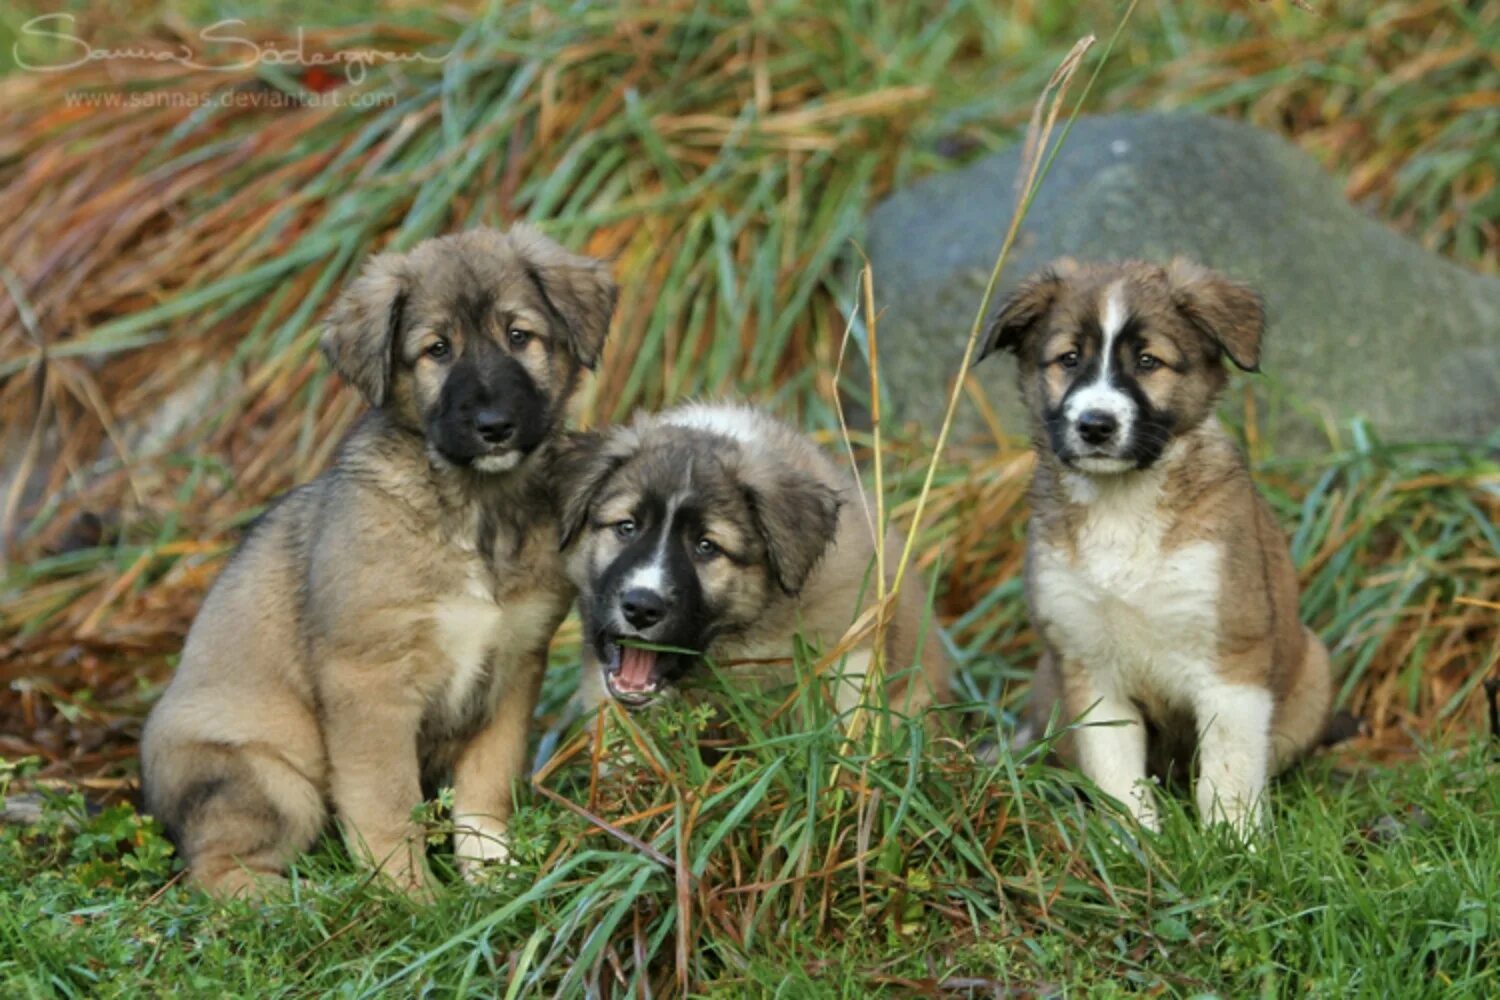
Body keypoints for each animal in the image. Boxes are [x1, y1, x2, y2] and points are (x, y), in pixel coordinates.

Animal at [136, 229, 615, 899]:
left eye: (520, 336)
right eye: (436, 350)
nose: (494, 426)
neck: (474, 510)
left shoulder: (515, 665)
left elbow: (486, 788)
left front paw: (496, 877)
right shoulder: (368, 679)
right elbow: (386, 802)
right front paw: (410, 896)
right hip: (271, 779)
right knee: (216, 871)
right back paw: (301, 902)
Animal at [978, 257, 1332, 839]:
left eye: (1149, 362)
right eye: (1068, 359)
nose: (1095, 426)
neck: (1123, 506)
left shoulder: (1231, 657)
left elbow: (1229, 770)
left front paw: (1234, 845)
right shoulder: (1088, 662)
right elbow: (1118, 775)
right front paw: (1133, 843)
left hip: (1314, 671)